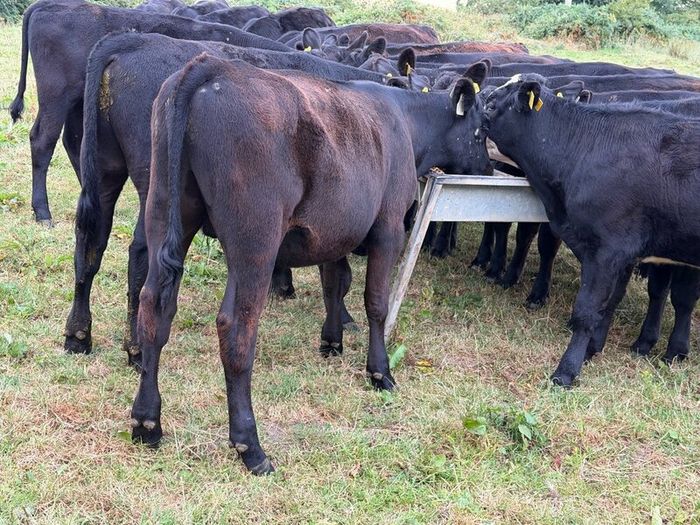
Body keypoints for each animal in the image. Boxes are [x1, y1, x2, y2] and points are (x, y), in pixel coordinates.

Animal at [9, 0, 289, 225]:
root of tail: (47, 5)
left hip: (78, 102)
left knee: (75, 142)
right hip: (56, 94)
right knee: (43, 140)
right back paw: (42, 212)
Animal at [483, 73, 700, 386]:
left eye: (490, 106)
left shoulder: (607, 250)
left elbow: (586, 311)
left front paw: (566, 371)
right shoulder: (623, 255)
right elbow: (607, 305)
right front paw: (592, 349)